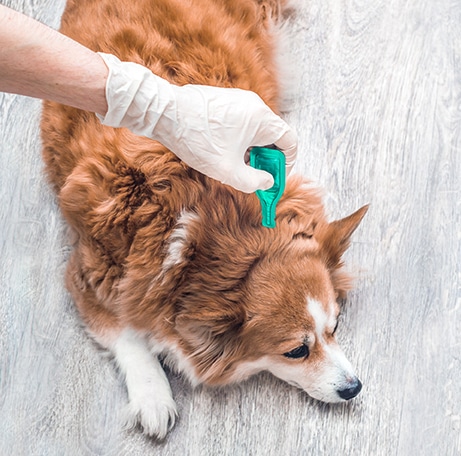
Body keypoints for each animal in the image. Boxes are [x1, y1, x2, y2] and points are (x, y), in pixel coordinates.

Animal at [41, 0, 368, 438]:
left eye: (335, 328)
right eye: (297, 350)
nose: (354, 387)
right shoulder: (88, 274)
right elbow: (127, 334)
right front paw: (153, 398)